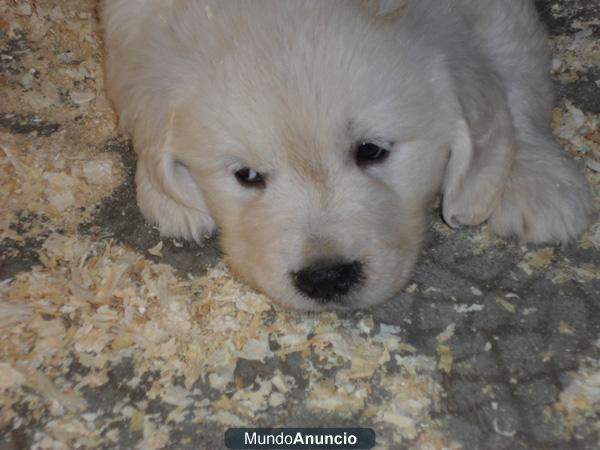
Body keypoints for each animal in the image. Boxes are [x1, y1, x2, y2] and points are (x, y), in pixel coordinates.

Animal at [102, 0, 596, 310]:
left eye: (371, 151)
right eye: (247, 175)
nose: (325, 278)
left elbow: (513, 70)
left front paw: (536, 179)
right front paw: (163, 194)